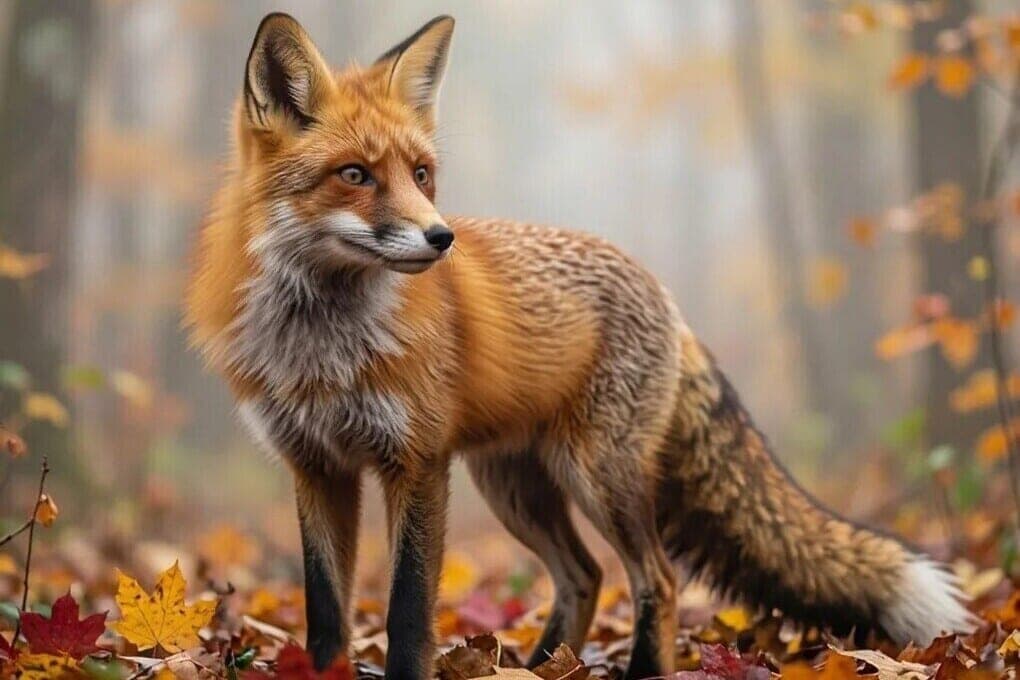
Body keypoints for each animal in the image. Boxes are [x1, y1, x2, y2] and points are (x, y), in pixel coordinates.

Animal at [185, 12, 975, 680]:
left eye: (421, 175)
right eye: (355, 175)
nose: (442, 238)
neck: (321, 347)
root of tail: (664, 292)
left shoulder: (416, 463)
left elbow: (407, 616)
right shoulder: (317, 467)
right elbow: (326, 616)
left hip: (596, 475)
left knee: (655, 579)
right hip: (515, 487)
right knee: (585, 576)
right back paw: (540, 668)